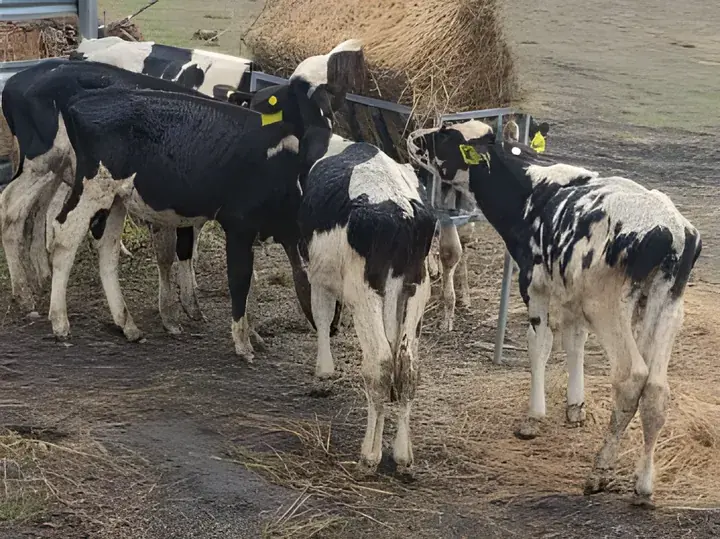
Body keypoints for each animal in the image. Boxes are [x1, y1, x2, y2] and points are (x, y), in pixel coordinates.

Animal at [43, 40, 363, 359]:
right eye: (295, 102)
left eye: (328, 108)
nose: (320, 137)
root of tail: (82, 101)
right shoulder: (239, 225)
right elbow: (240, 279)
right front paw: (242, 343)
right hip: (92, 187)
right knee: (65, 234)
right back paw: (59, 320)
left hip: (115, 197)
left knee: (106, 248)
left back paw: (126, 324)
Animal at [297, 134, 434, 475]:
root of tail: (402, 213)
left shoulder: (317, 273)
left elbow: (321, 316)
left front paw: (324, 370)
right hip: (416, 287)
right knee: (407, 364)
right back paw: (402, 454)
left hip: (364, 293)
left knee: (381, 362)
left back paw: (370, 453)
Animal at [408, 122, 702, 507]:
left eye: (445, 134)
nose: (413, 136)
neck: (534, 191)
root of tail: (671, 229)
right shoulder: (571, 295)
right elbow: (574, 342)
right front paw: (575, 407)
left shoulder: (533, 284)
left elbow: (540, 345)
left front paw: (534, 417)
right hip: (667, 307)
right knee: (655, 388)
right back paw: (643, 485)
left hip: (608, 307)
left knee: (632, 377)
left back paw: (600, 470)